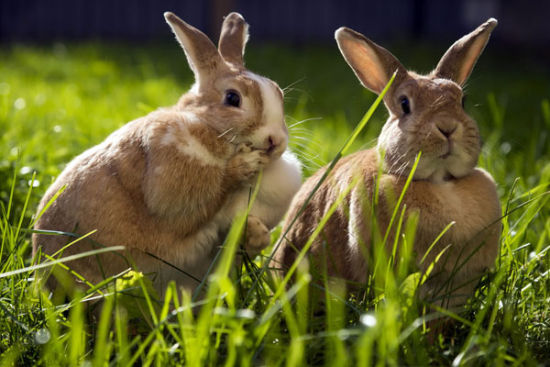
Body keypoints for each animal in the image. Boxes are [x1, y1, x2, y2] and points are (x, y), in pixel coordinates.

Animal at [32, 12, 304, 296]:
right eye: (232, 98)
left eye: (278, 92)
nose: (276, 141)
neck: (209, 128)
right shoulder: (171, 176)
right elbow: (210, 191)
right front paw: (246, 164)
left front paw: (256, 232)